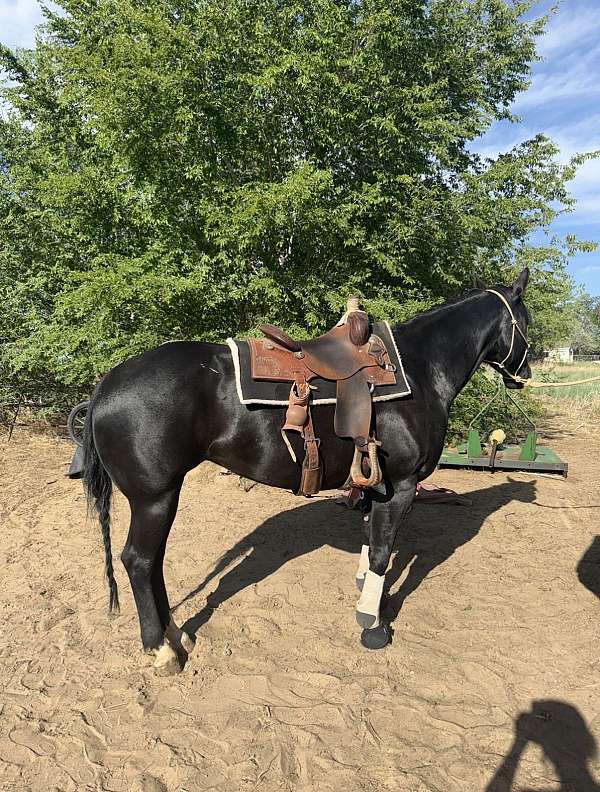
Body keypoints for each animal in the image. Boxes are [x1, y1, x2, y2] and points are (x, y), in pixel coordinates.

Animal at [83, 268, 531, 674]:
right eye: (525, 322)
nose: (524, 374)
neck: (420, 370)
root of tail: (105, 385)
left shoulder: (376, 485)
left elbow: (370, 539)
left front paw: (366, 594)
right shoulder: (402, 486)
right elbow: (382, 553)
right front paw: (372, 625)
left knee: (154, 562)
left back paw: (176, 635)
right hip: (154, 499)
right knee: (140, 561)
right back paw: (161, 650)